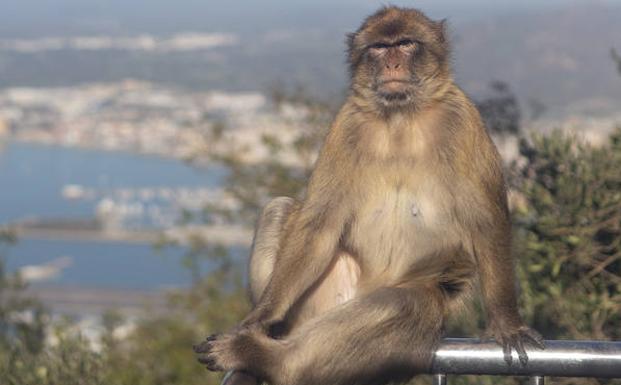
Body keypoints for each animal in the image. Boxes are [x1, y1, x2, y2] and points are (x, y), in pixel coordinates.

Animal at [194, 6, 544, 384]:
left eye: (405, 44)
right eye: (379, 47)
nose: (392, 64)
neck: (400, 117)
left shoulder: (463, 121)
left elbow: (486, 220)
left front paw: (507, 323)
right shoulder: (346, 124)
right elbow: (319, 224)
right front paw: (258, 317)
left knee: (402, 304)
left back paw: (269, 360)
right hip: (319, 300)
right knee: (280, 209)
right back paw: (264, 342)